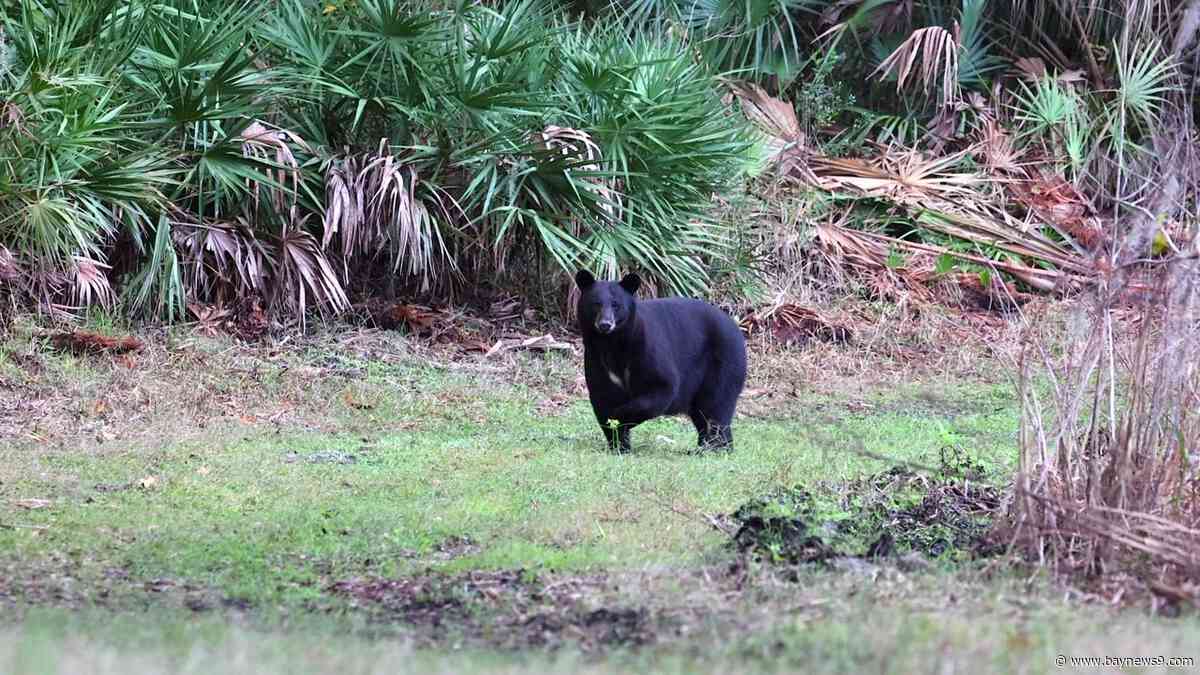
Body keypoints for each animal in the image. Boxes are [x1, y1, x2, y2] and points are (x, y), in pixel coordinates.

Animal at [575, 270, 748, 453]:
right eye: (596, 304)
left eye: (616, 305)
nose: (605, 324)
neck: (612, 343)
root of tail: (735, 326)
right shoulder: (596, 359)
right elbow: (602, 396)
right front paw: (619, 445)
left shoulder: (646, 349)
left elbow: (663, 386)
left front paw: (620, 417)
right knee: (703, 413)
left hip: (724, 363)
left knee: (716, 406)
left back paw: (714, 447)